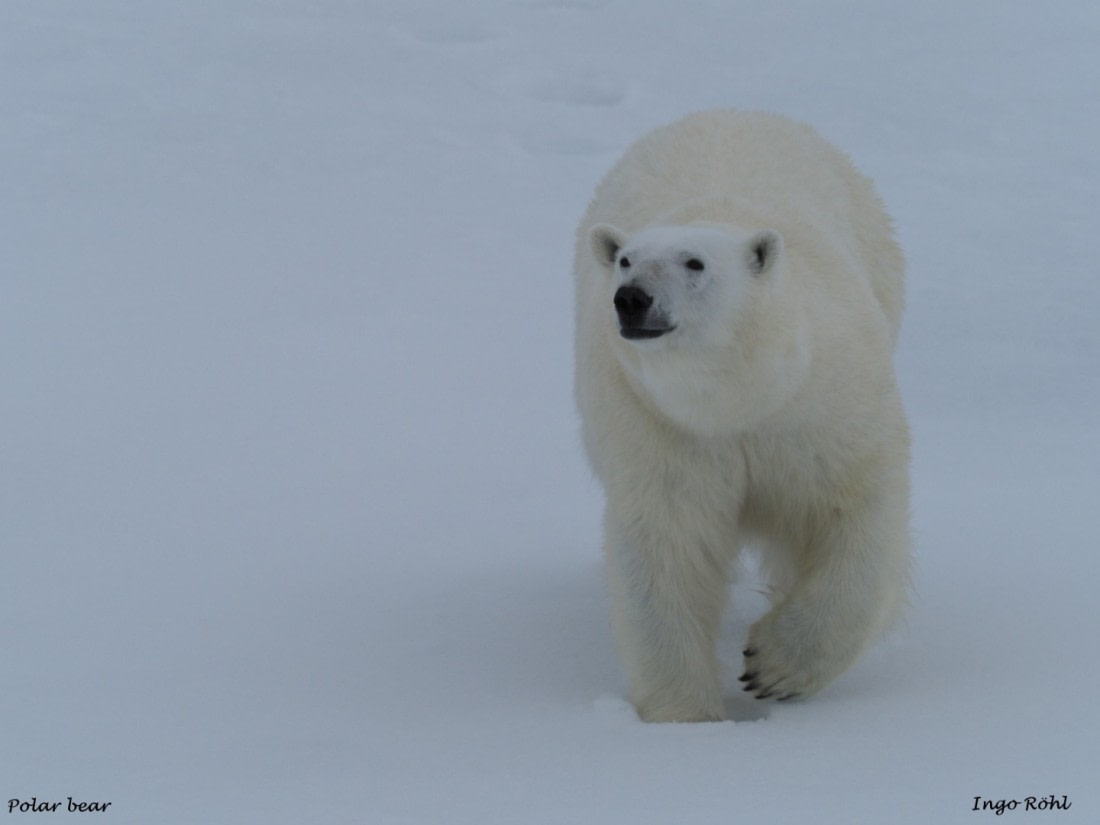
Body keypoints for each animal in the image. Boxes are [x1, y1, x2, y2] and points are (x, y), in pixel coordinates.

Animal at [573, 110, 910, 723]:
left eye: (694, 262)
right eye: (626, 259)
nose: (631, 298)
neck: (739, 400)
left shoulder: (823, 409)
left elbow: (855, 514)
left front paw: (773, 667)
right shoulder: (658, 427)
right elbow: (667, 547)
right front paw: (687, 716)